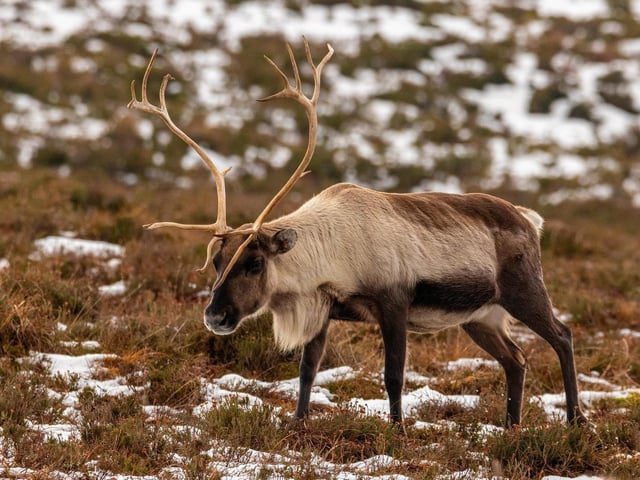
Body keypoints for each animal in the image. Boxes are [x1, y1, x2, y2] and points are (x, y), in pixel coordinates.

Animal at [128, 40, 588, 430]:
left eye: (255, 262)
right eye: (218, 262)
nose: (215, 316)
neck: (332, 253)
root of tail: (528, 218)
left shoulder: (394, 303)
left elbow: (393, 374)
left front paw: (397, 429)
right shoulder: (322, 308)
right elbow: (308, 369)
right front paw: (297, 422)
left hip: (523, 289)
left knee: (562, 336)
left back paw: (575, 419)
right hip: (479, 317)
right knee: (516, 359)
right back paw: (511, 426)